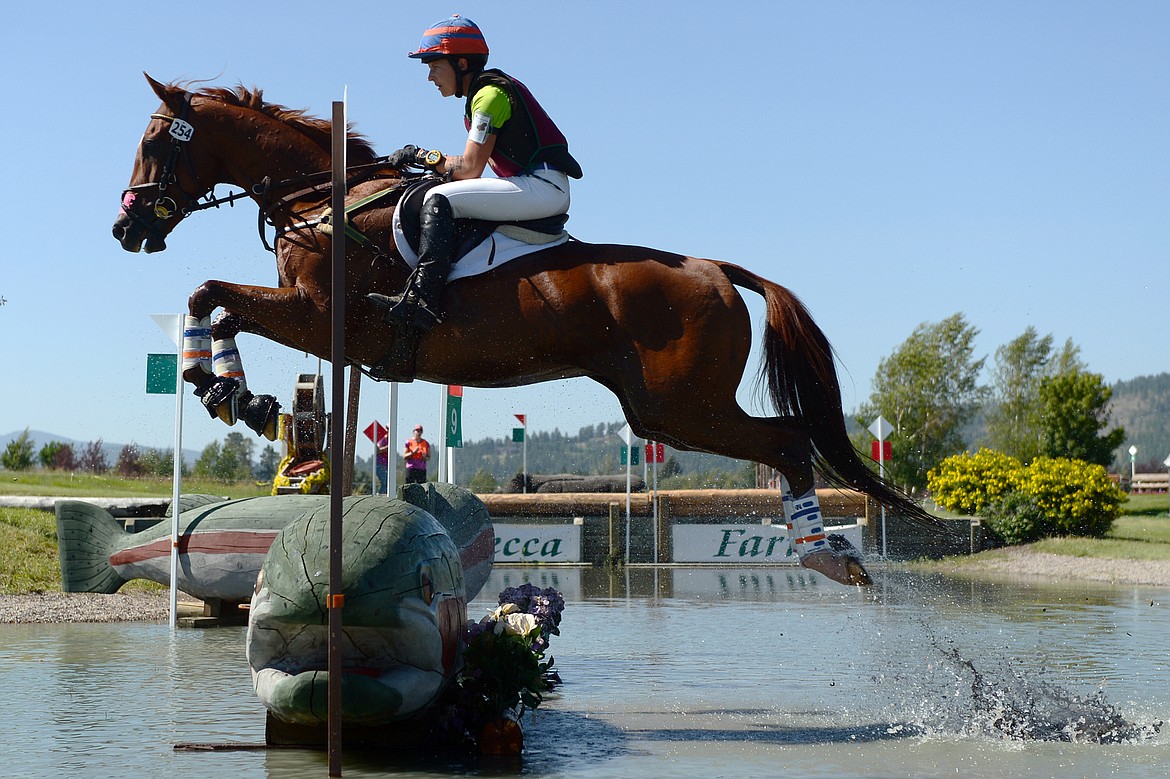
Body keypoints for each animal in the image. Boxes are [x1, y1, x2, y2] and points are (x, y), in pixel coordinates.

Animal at [111, 74, 950, 582]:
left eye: (153, 144)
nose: (125, 228)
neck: (324, 199)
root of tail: (715, 268)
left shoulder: (320, 318)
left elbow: (210, 292)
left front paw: (221, 388)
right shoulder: (309, 322)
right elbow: (215, 302)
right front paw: (234, 394)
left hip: (680, 406)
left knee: (787, 441)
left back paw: (824, 554)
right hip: (665, 408)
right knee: (785, 440)